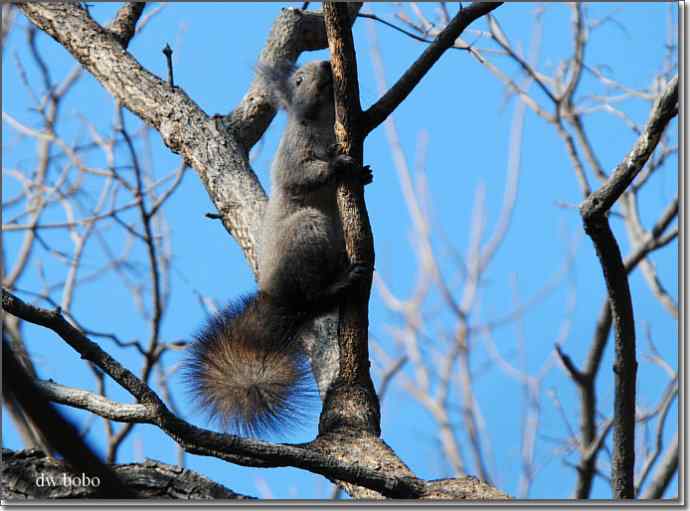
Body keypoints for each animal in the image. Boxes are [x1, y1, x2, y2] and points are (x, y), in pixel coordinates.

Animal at [185, 60, 370, 436]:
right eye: (298, 80)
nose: (327, 64)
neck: (322, 119)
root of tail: (282, 299)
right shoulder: (293, 154)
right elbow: (302, 175)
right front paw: (338, 164)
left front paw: (366, 173)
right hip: (308, 231)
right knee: (314, 292)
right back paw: (341, 283)